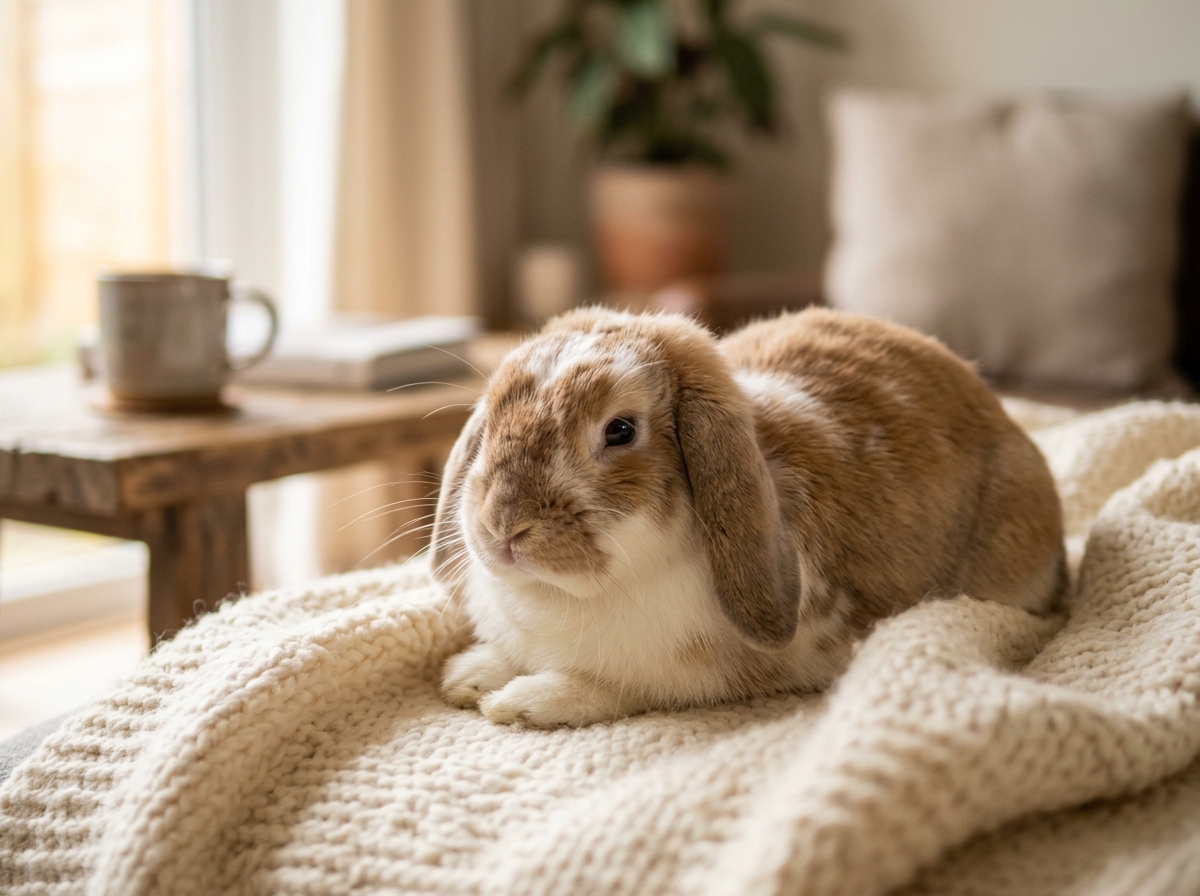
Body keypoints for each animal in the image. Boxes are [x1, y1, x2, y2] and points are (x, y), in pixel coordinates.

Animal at [430, 306, 1065, 728]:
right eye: (494, 413)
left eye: (620, 430)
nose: (504, 528)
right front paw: (467, 676)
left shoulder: (687, 677)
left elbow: (612, 687)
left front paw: (519, 701)